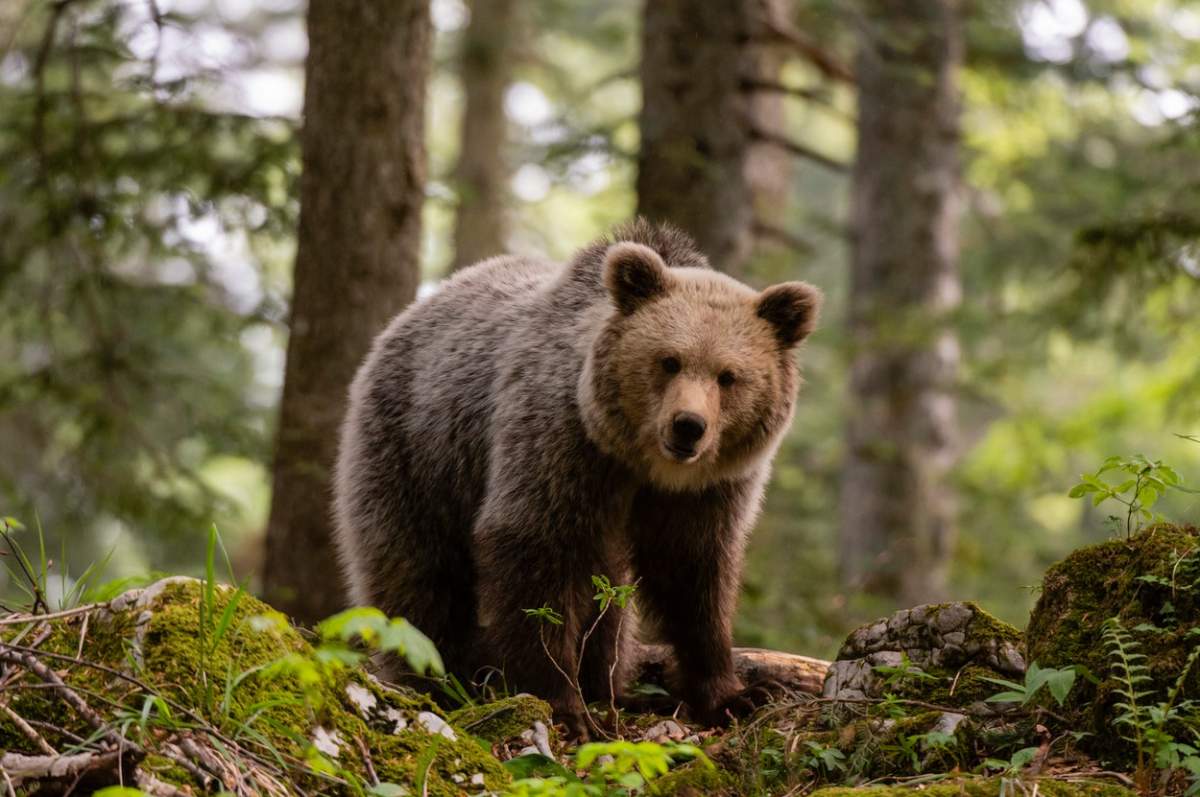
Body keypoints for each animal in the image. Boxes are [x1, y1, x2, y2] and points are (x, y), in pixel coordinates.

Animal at [333, 216, 820, 734]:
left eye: (728, 376)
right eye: (669, 360)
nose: (688, 426)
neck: (642, 464)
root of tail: (412, 311)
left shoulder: (707, 491)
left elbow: (693, 577)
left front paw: (735, 695)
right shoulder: (560, 444)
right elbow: (535, 551)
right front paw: (562, 706)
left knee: (610, 603)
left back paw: (612, 688)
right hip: (417, 452)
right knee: (417, 576)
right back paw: (443, 680)